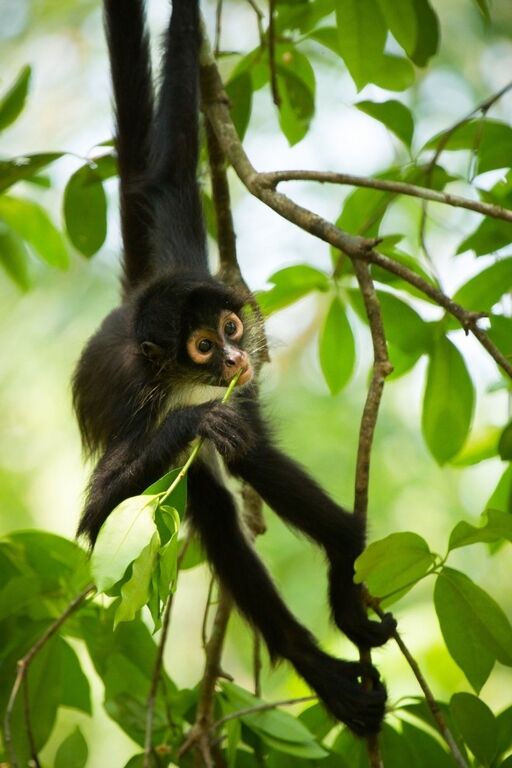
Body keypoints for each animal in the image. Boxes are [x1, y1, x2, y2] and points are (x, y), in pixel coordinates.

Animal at [72, 0, 394, 736]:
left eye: (226, 328)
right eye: (201, 345)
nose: (236, 355)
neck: (177, 377)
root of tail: (133, 299)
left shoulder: (225, 362)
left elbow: (166, 170)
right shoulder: (144, 404)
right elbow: (96, 522)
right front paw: (185, 427)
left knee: (249, 454)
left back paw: (342, 562)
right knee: (215, 499)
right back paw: (321, 667)